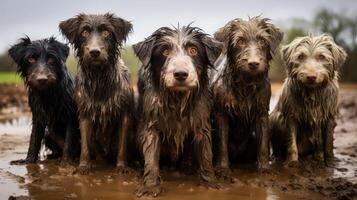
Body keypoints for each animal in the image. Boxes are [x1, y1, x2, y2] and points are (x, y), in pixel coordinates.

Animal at [8, 36, 79, 165]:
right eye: (30, 59)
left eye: (51, 58)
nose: (42, 79)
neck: (48, 93)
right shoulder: (38, 116)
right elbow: (34, 140)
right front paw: (28, 161)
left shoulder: (71, 117)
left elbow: (69, 141)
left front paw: (66, 163)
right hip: (48, 135)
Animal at [59, 12, 134, 173]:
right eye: (84, 32)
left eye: (106, 32)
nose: (94, 52)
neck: (99, 78)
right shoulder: (84, 112)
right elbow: (85, 145)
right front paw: (83, 165)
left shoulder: (125, 112)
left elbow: (122, 144)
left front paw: (122, 166)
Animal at [210, 16, 282, 180]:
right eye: (240, 41)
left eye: (262, 41)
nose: (253, 63)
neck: (245, 85)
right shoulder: (221, 114)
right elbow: (222, 144)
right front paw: (223, 169)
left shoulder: (262, 113)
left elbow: (263, 145)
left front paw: (264, 168)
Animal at [270, 34, 344, 166]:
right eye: (300, 56)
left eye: (322, 57)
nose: (311, 77)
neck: (312, 92)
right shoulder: (291, 116)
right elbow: (292, 143)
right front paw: (292, 162)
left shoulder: (330, 116)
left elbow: (328, 142)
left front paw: (330, 161)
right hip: (275, 117)